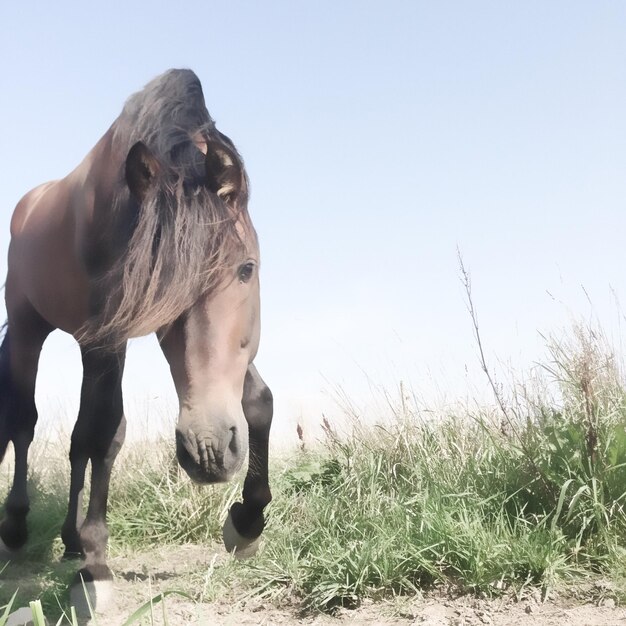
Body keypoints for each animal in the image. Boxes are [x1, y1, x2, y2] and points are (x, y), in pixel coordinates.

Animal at [0, 69, 272, 608]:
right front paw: (95, 569)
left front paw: (247, 522)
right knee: (24, 424)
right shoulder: (106, 341)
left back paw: (68, 540)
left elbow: (258, 402)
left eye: (246, 269)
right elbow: (102, 432)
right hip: (27, 329)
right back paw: (18, 530)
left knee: (76, 443)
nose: (208, 450)